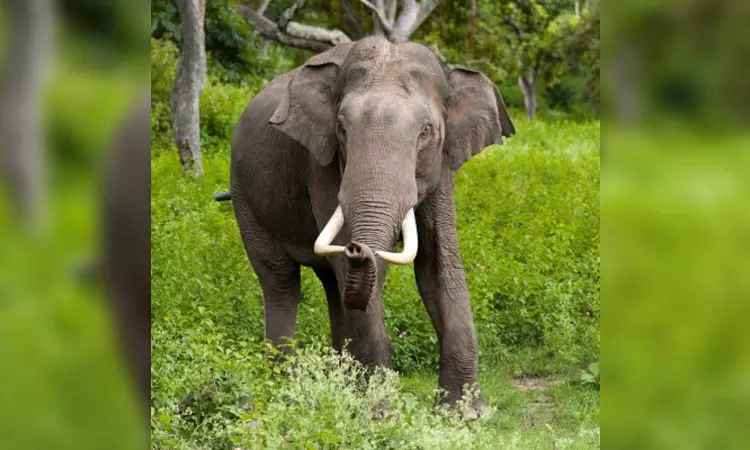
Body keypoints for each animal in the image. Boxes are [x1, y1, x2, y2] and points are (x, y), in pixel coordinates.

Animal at [229, 36, 515, 412]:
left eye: (426, 132)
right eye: (341, 128)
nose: (356, 247)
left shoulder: (442, 167)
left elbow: (438, 264)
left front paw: (466, 413)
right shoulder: (321, 162)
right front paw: (379, 410)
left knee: (333, 286)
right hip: (244, 197)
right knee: (280, 281)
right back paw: (285, 387)